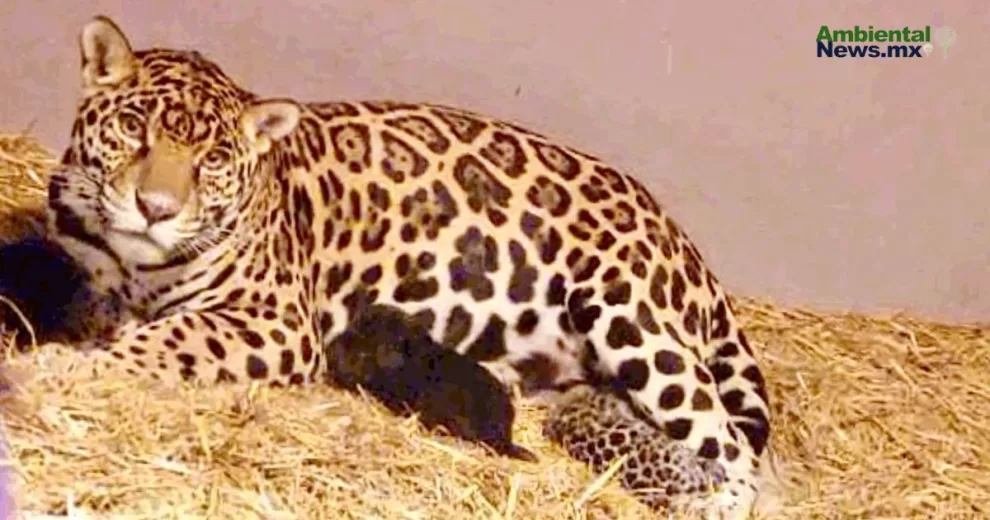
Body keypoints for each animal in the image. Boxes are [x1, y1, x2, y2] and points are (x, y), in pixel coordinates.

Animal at [45, 15, 773, 519]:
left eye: (214, 160)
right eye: (134, 128)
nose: (156, 208)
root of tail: (683, 239)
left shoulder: (275, 322)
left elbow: (164, 339)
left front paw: (70, 366)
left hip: (627, 315)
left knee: (740, 453)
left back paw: (712, 501)